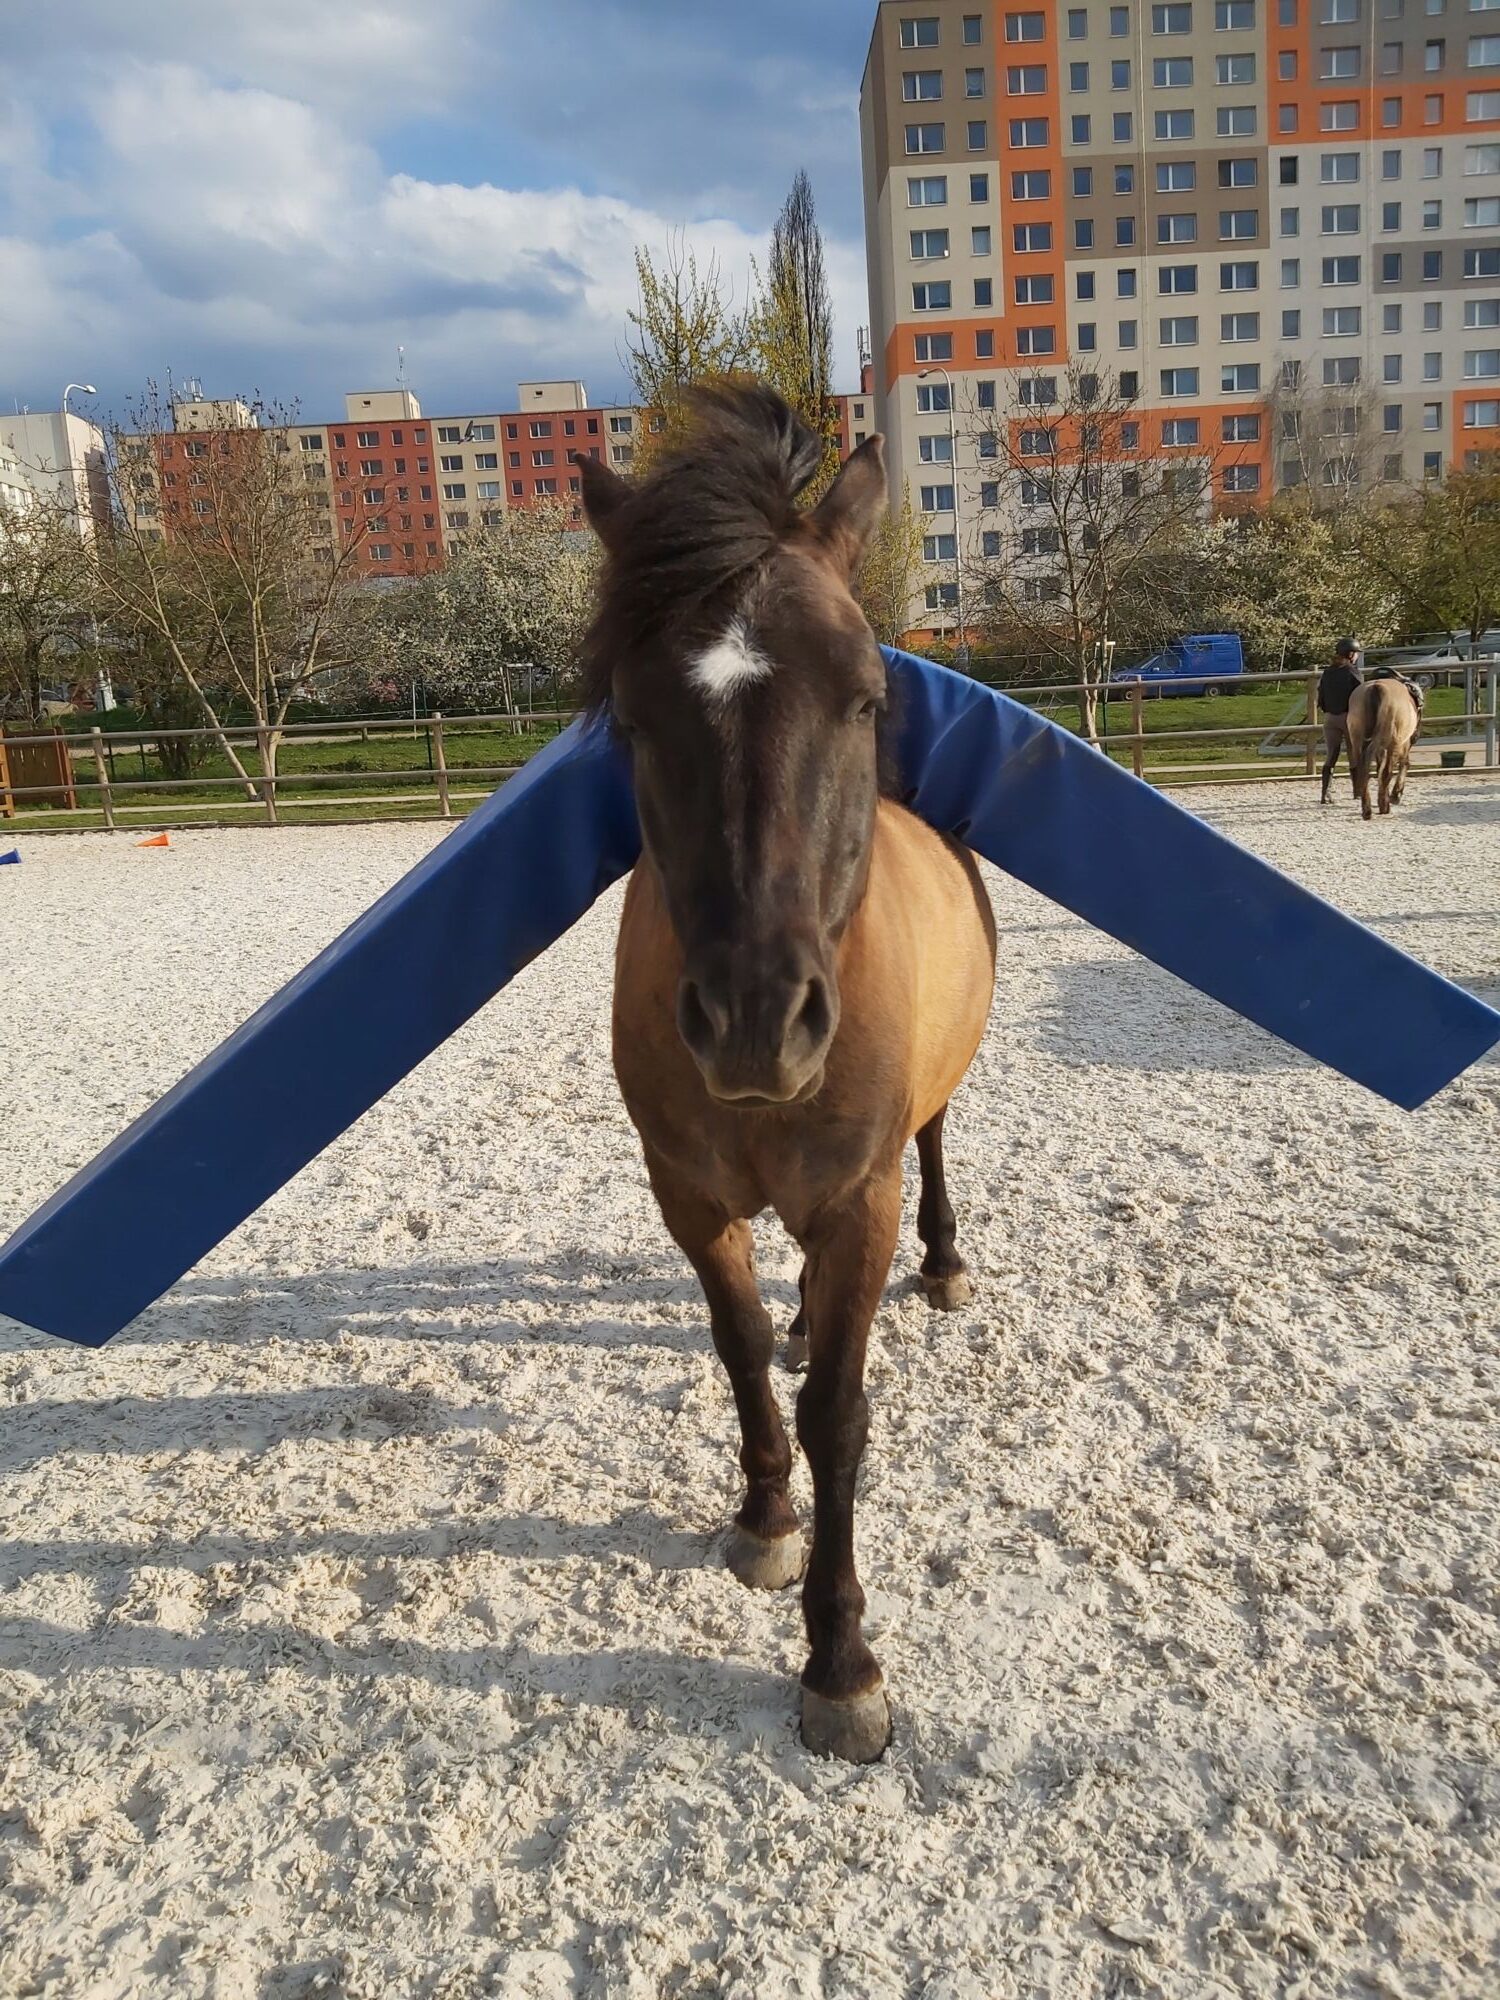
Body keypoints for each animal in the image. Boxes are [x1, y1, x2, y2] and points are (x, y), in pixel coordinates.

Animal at [576, 387, 996, 1762]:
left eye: (865, 694)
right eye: (632, 716)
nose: (758, 1019)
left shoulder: (856, 1200)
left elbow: (841, 1419)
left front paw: (840, 1659)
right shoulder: (688, 1194)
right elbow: (744, 1343)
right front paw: (764, 1516)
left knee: (936, 1144)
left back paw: (946, 1260)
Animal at [1348, 675, 1423, 820]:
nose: (1416, 736)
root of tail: (1376, 687)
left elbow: (1379, 769)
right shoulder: (1402, 744)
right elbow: (1404, 764)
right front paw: (1395, 795)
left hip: (1357, 741)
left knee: (1362, 768)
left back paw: (1367, 807)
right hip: (1391, 742)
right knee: (1385, 771)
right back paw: (1381, 806)